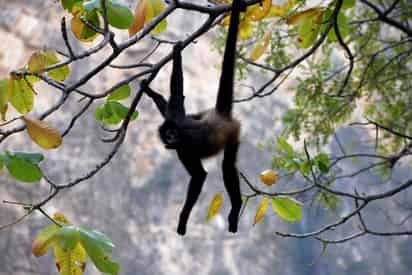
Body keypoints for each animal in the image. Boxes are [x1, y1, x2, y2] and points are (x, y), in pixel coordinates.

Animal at [140, 0, 246, 236]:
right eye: (167, 134)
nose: (170, 139)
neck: (179, 129)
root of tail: (219, 115)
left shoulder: (184, 146)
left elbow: (199, 176)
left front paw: (182, 220)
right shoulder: (175, 117)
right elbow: (174, 100)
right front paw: (149, 90)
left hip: (232, 132)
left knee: (227, 165)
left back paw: (236, 207)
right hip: (204, 115)